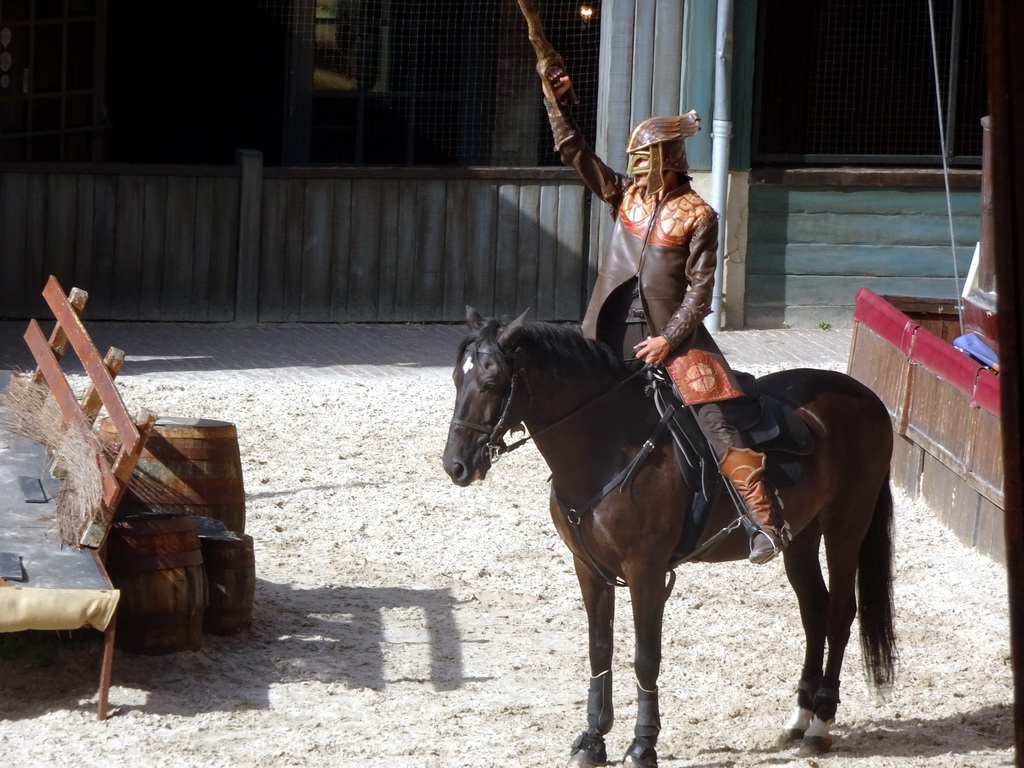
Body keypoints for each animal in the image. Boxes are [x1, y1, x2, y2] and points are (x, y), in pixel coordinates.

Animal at [442, 309, 897, 768]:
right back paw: (800, 718)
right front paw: (592, 739)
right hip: (802, 536)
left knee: (839, 613)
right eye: (457, 379)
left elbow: (646, 657)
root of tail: (867, 397)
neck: (610, 446)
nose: (456, 465)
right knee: (814, 612)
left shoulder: (645, 571)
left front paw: (643, 744)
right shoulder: (589, 569)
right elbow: (599, 649)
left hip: (845, 527)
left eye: (491, 383)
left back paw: (820, 722)